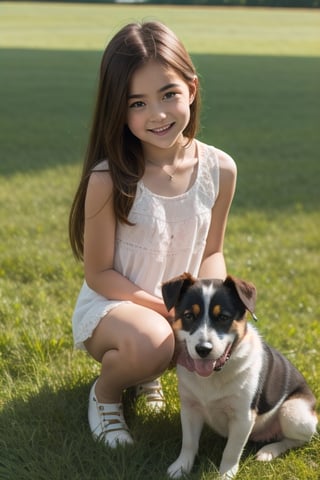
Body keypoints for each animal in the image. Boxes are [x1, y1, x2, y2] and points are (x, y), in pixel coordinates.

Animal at [162, 272, 318, 478]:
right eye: (189, 316)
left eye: (223, 317)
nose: (203, 349)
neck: (214, 375)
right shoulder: (190, 407)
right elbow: (189, 442)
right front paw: (181, 467)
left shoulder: (243, 416)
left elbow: (232, 450)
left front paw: (225, 474)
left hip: (293, 412)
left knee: (298, 439)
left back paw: (269, 451)